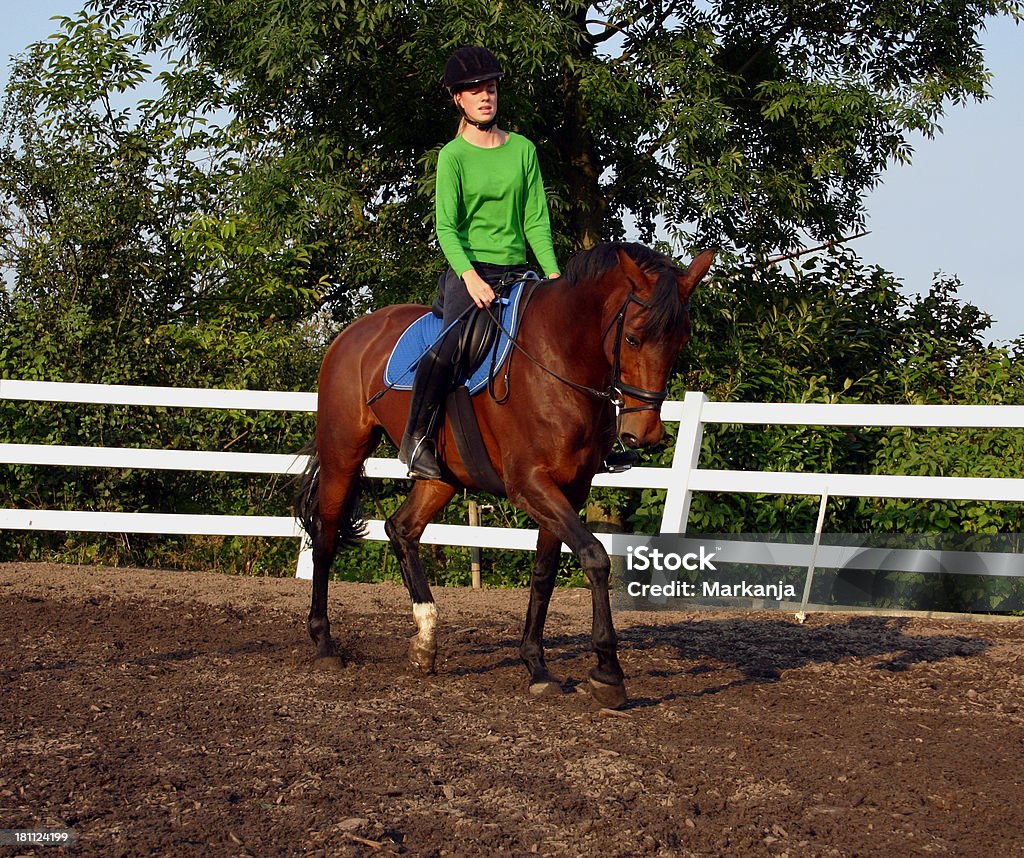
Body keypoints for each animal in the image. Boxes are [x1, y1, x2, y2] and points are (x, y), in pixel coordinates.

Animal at [294, 243, 712, 712]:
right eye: (633, 338)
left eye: (682, 339)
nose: (645, 434)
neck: (560, 359)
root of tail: (353, 332)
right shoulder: (529, 484)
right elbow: (594, 556)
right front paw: (607, 673)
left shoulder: (569, 488)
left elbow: (544, 573)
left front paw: (537, 666)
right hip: (343, 453)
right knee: (326, 535)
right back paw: (325, 644)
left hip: (441, 477)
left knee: (401, 529)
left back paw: (425, 639)